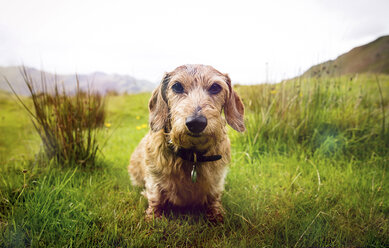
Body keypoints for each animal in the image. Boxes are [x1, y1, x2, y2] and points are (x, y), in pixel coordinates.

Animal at [127, 64, 244, 223]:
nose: (196, 122)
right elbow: (156, 198)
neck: (192, 155)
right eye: (177, 86)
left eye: (215, 87)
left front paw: (217, 216)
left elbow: (214, 199)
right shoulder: (154, 180)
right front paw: (153, 218)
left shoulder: (216, 182)